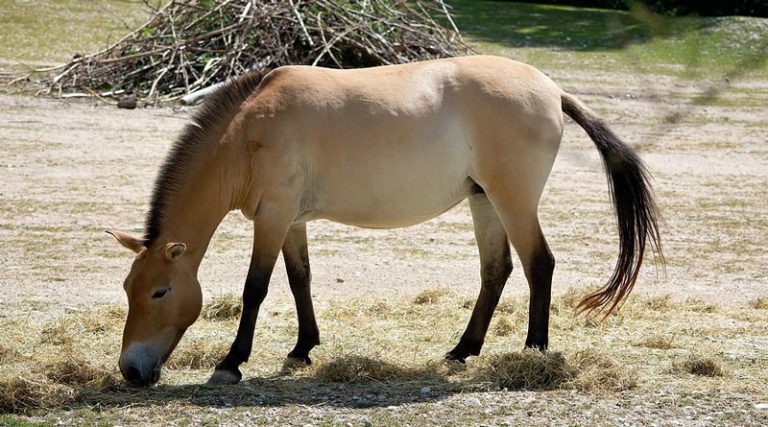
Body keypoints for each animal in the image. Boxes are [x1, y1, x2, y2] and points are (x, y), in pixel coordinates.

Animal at [108, 54, 660, 388]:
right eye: (128, 288)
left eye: (159, 292)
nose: (131, 370)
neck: (246, 133)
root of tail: (552, 89)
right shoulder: (290, 221)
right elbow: (299, 278)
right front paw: (302, 350)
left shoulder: (273, 217)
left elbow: (256, 288)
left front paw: (231, 363)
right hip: (485, 201)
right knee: (496, 271)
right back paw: (462, 351)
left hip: (514, 201)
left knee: (538, 264)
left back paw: (533, 351)